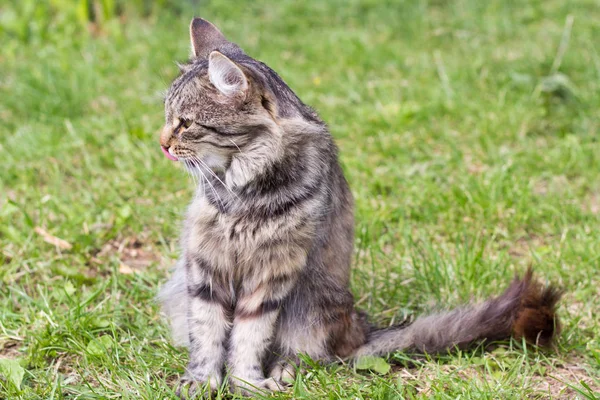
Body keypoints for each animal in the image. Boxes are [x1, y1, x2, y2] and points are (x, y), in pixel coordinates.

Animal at [159, 16, 564, 396]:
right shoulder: (207, 264)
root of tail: (361, 327)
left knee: (311, 354)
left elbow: (248, 336)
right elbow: (208, 334)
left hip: (312, 305)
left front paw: (246, 384)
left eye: (186, 123)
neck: (243, 188)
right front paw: (202, 382)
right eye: (167, 118)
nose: (162, 143)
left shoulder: (273, 271)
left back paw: (285, 371)